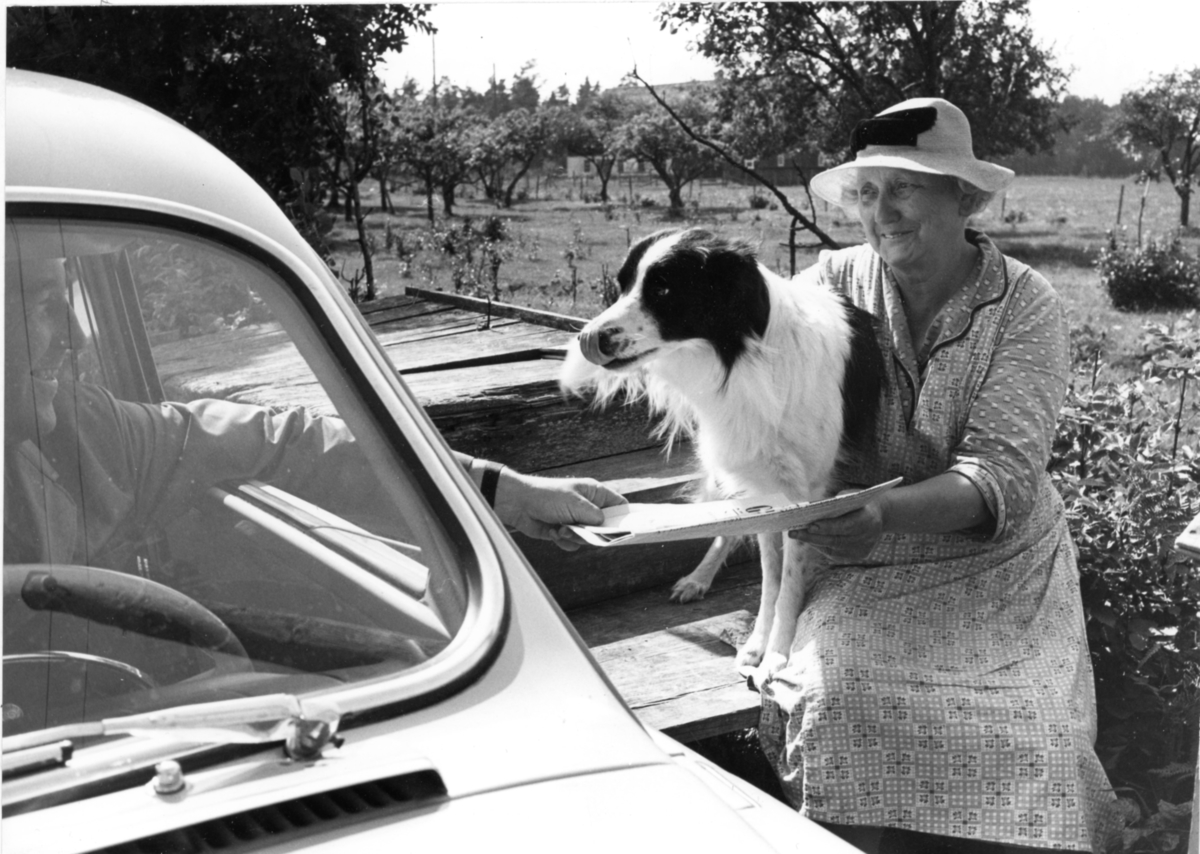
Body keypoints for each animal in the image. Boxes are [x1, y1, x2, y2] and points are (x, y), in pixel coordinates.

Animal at [561, 226, 883, 681]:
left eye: (663, 289)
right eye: (623, 286)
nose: (589, 338)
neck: (743, 359)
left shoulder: (806, 494)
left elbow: (787, 578)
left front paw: (778, 654)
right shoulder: (763, 487)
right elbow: (770, 575)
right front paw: (759, 644)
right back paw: (699, 577)